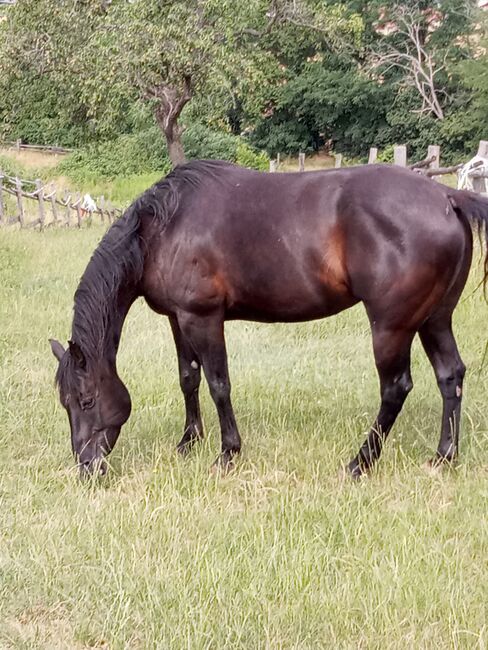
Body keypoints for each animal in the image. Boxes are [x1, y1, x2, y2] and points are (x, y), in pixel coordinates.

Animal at [48, 161, 488, 476]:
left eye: (87, 400)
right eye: (65, 403)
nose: (87, 466)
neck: (162, 227)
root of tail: (446, 196)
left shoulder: (203, 317)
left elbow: (218, 384)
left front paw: (227, 454)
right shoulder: (178, 317)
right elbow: (188, 378)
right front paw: (188, 442)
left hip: (392, 327)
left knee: (396, 388)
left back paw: (359, 463)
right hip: (434, 319)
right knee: (450, 376)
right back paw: (443, 457)